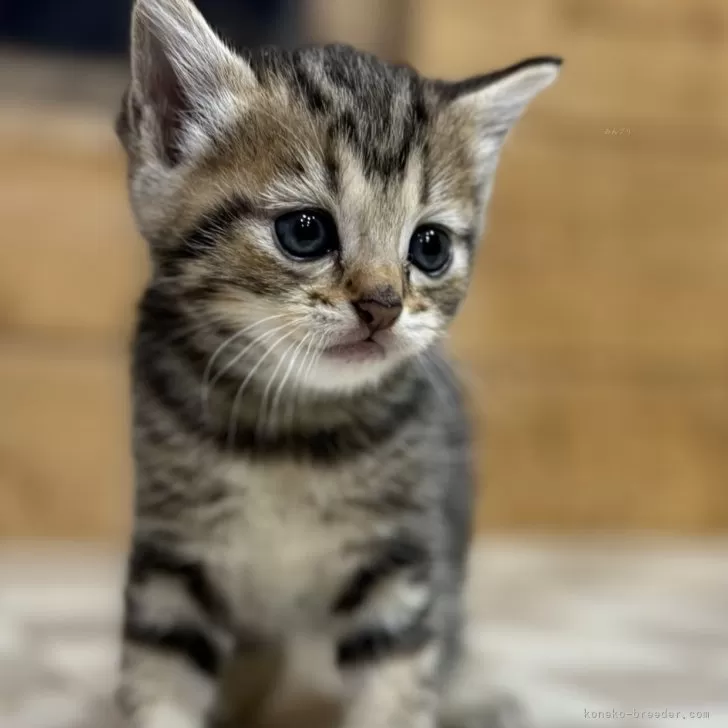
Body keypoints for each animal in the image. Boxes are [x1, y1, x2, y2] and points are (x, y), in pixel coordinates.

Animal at [116, 1, 564, 728]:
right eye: (305, 232)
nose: (383, 305)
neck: (289, 431)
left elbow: (399, 683)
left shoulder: (399, 566)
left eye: (430, 247)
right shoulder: (174, 552)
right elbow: (160, 673)